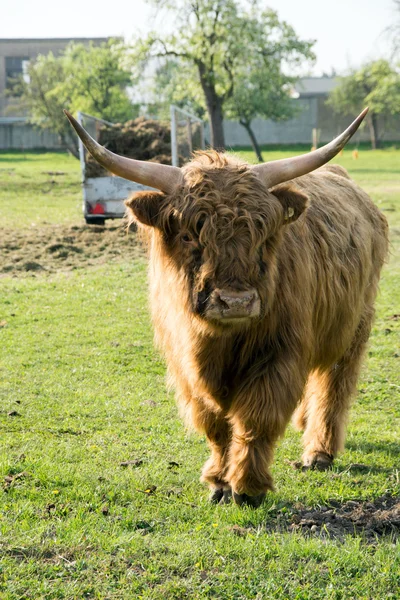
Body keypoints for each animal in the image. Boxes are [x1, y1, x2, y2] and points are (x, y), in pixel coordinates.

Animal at [65, 108, 388, 506]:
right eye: (188, 234)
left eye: (263, 234)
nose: (235, 302)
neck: (220, 343)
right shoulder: (186, 364)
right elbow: (214, 424)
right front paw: (219, 482)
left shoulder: (280, 352)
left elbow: (257, 417)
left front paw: (248, 486)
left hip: (353, 326)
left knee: (334, 385)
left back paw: (318, 451)